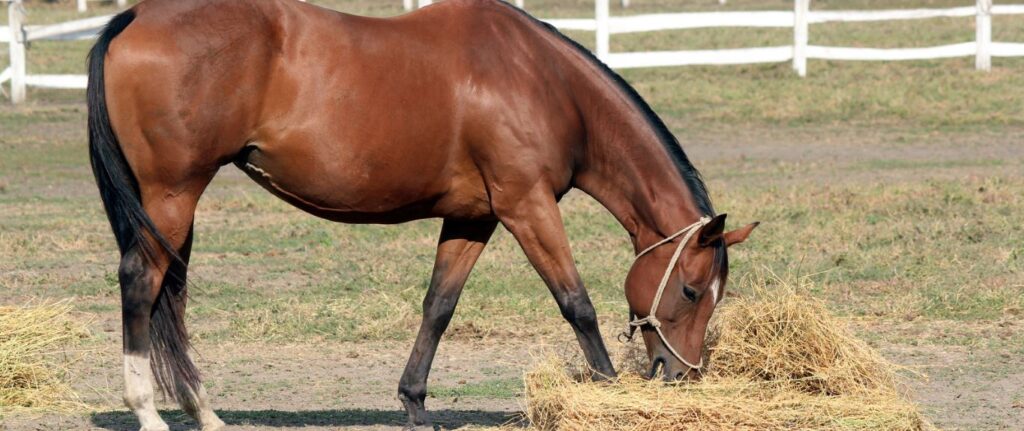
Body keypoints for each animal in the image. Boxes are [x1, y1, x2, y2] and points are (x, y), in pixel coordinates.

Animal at [88, 1, 757, 427]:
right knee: (142, 283)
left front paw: (413, 402)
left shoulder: (474, 218)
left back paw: (205, 413)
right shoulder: (527, 206)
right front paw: (609, 392)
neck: (541, 82)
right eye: (692, 291)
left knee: (170, 294)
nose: (679, 374)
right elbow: (577, 303)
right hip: (173, 194)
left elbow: (439, 306)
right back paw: (149, 412)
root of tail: (135, 16)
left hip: (173, 204)